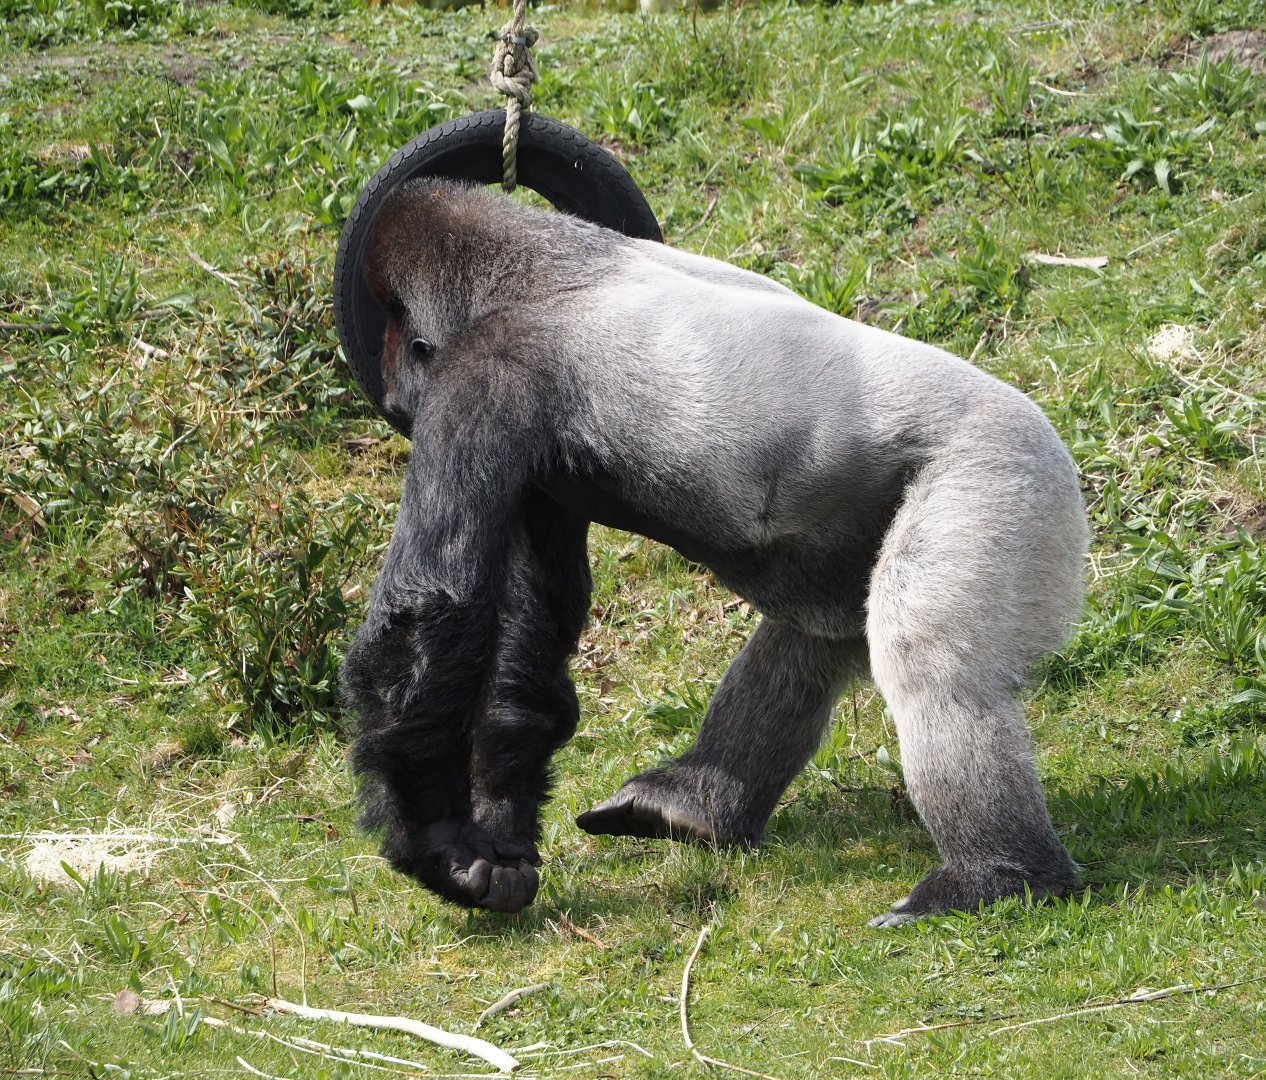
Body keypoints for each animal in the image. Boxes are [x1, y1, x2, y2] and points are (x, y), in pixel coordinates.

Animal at [341, 177, 1088, 927]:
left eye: (397, 352)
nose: (396, 398)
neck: (530, 267)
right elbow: (533, 623)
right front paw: (496, 833)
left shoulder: (483, 373)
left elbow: (434, 606)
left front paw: (437, 841)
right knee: (818, 635)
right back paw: (695, 803)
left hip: (1000, 471)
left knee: (927, 660)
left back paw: (996, 876)